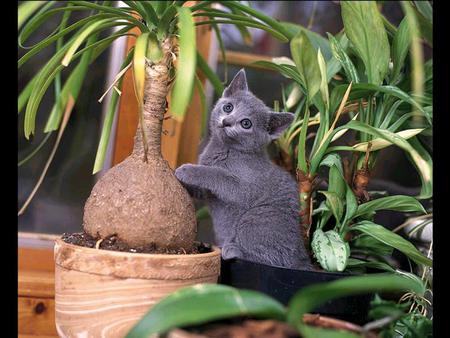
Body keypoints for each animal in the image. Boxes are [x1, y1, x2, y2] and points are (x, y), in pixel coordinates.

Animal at [176, 69, 312, 270]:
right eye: (228, 107)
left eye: (246, 123)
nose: (227, 121)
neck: (225, 150)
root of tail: (303, 257)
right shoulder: (207, 191)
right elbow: (202, 189)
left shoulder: (246, 188)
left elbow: (218, 174)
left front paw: (187, 170)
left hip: (257, 217)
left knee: (274, 259)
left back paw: (231, 249)